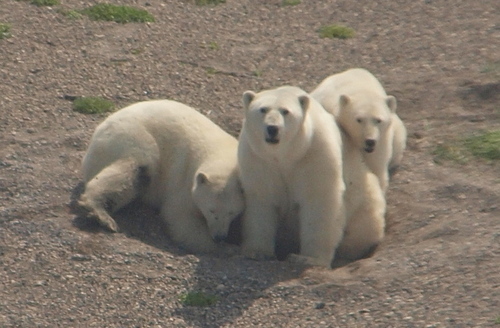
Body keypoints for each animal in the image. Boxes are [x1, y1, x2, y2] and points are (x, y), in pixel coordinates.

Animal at [75, 100, 244, 254]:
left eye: (232, 212)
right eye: (211, 210)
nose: (219, 237)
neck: (222, 152)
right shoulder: (185, 181)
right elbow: (179, 217)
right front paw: (229, 249)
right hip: (132, 138)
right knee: (137, 168)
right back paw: (101, 214)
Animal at [236, 86, 346, 268]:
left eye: (285, 111)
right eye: (263, 109)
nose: (272, 128)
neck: (285, 156)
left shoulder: (314, 155)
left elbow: (318, 203)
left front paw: (308, 258)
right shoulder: (258, 160)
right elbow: (262, 201)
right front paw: (257, 252)